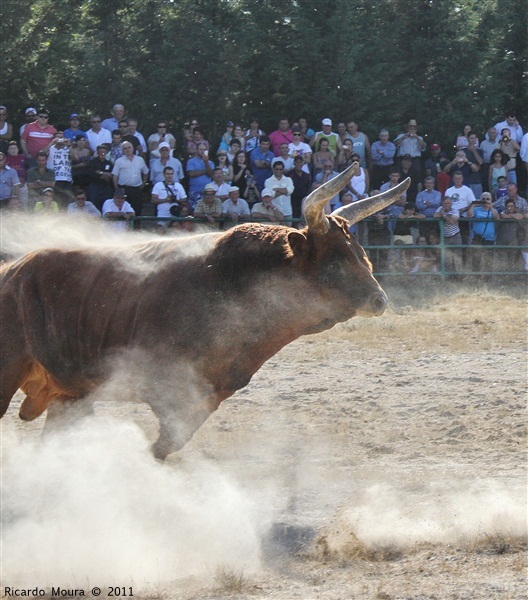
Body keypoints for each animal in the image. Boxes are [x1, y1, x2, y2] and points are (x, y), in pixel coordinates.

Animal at [0, 162, 408, 458]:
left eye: (362, 254)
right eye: (336, 262)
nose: (380, 300)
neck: (229, 283)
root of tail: (12, 271)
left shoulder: (207, 396)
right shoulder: (170, 390)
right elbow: (162, 445)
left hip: (69, 395)